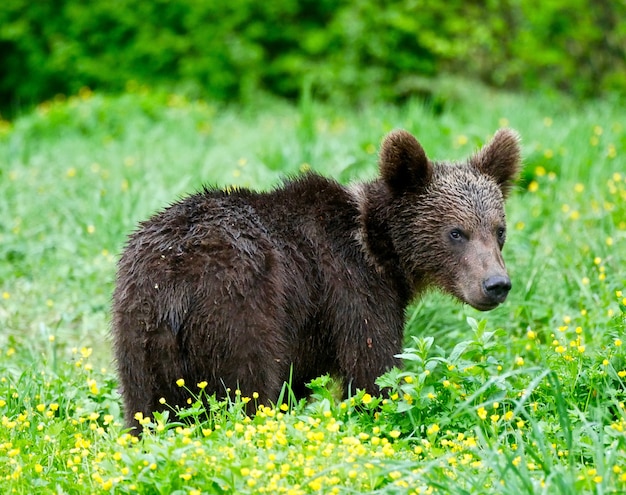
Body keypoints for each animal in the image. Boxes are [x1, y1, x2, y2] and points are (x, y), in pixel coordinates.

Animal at [111, 129, 516, 434]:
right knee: (248, 388)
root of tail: (175, 279)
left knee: (145, 406)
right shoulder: (352, 291)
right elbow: (372, 370)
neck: (377, 249)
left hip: (138, 330)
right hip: (238, 312)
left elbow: (299, 384)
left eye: (499, 230)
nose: (496, 284)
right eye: (456, 233)